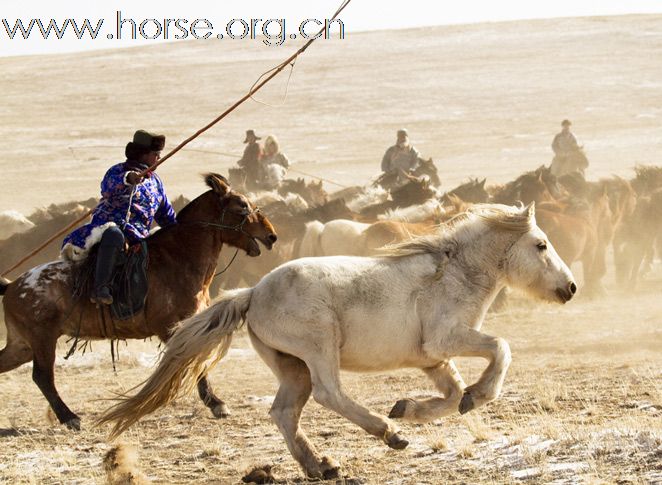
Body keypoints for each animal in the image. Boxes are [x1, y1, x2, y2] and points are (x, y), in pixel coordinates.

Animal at [0, 173, 276, 428]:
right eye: (241, 205)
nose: (272, 235)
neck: (177, 259)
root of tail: (13, 285)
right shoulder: (171, 327)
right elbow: (191, 361)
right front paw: (216, 403)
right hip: (42, 339)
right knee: (43, 377)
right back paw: (70, 417)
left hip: (23, 345)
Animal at [100, 202, 580, 478]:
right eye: (541, 245)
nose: (570, 288)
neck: (453, 274)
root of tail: (253, 293)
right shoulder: (447, 340)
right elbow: (500, 349)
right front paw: (469, 398)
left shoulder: (432, 359)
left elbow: (451, 394)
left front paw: (412, 408)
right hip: (318, 350)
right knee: (329, 394)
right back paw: (386, 433)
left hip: (291, 366)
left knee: (284, 412)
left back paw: (321, 465)